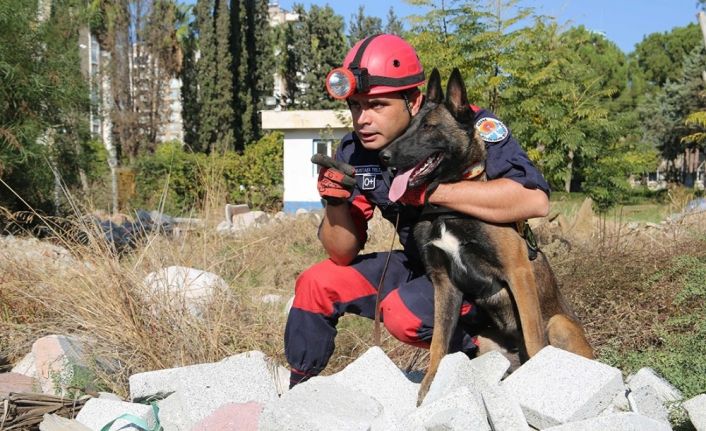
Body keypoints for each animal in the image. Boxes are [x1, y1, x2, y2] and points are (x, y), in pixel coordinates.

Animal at [376, 66, 592, 404]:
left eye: (429, 127)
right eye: (408, 127)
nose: (383, 157)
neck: (447, 210)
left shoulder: (518, 273)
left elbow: (534, 339)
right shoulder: (444, 284)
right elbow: (439, 343)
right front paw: (430, 387)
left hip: (559, 324)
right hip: (487, 345)